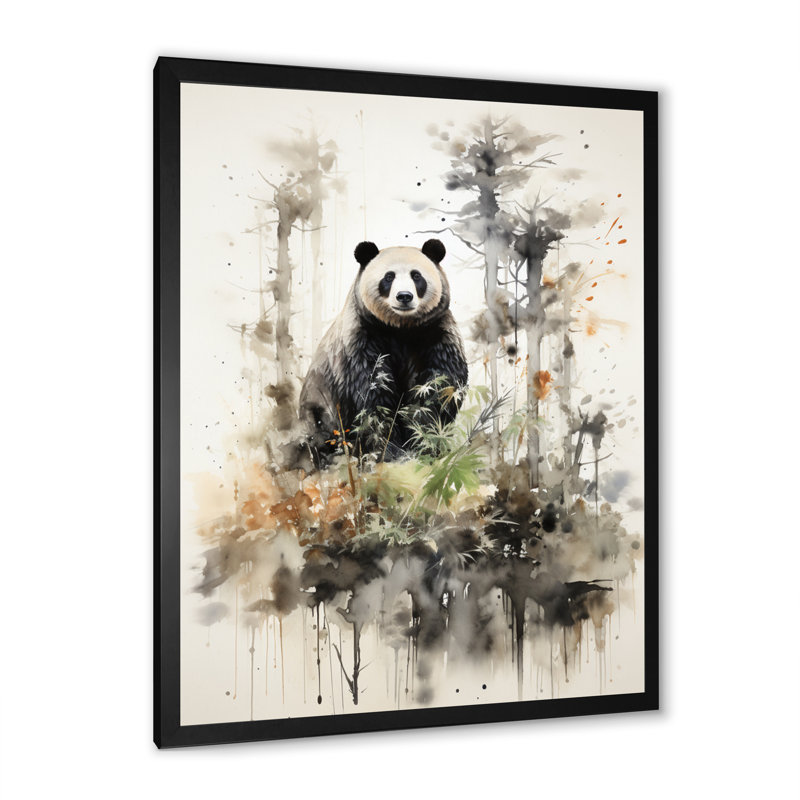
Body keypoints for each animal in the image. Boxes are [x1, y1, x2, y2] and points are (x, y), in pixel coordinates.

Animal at [299, 239, 468, 461]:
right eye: (389, 277)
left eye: (416, 276)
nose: (404, 296)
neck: (401, 327)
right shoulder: (361, 338)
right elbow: (372, 393)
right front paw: (390, 451)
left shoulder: (434, 331)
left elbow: (439, 386)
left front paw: (423, 441)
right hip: (318, 409)